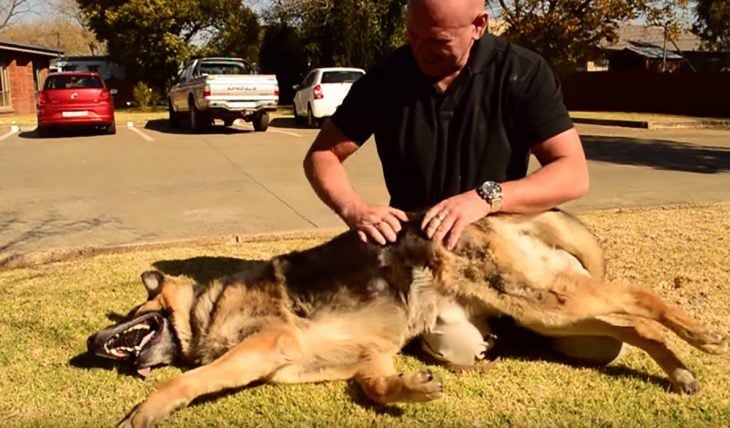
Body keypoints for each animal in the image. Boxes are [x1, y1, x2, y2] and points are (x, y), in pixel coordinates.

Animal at [85, 209, 724, 426]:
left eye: (131, 313)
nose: (89, 341)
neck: (203, 311)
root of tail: (495, 213)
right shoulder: (365, 356)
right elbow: (373, 384)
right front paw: (413, 390)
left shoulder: (260, 347)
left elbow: (189, 380)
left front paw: (145, 411)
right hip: (546, 312)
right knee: (628, 326)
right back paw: (679, 369)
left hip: (542, 298)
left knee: (639, 299)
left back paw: (700, 335)